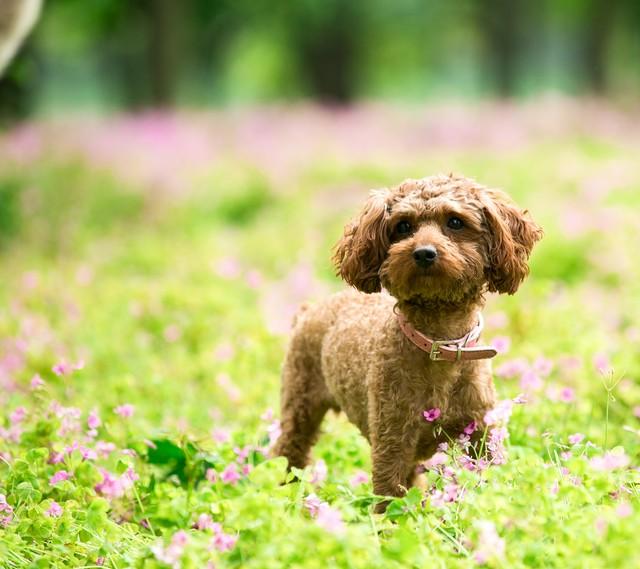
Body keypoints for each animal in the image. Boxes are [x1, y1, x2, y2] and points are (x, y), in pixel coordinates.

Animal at [272, 174, 544, 510]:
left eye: (455, 222)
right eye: (403, 226)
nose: (424, 252)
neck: (439, 343)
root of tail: (308, 310)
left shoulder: (481, 433)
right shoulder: (392, 440)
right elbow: (389, 500)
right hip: (300, 403)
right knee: (288, 452)